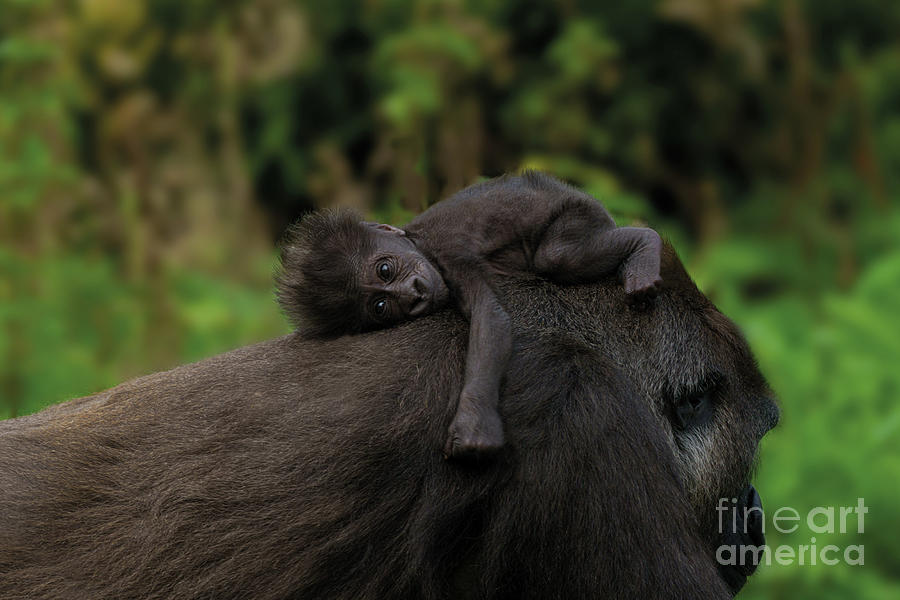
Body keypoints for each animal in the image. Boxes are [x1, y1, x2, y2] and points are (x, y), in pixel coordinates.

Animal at [278, 171, 664, 458]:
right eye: (381, 307)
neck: (418, 240)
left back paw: (645, 244)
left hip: (578, 210)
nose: (411, 295)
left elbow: (491, 317)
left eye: (385, 269)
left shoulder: (449, 255)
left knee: (558, 256)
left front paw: (474, 422)